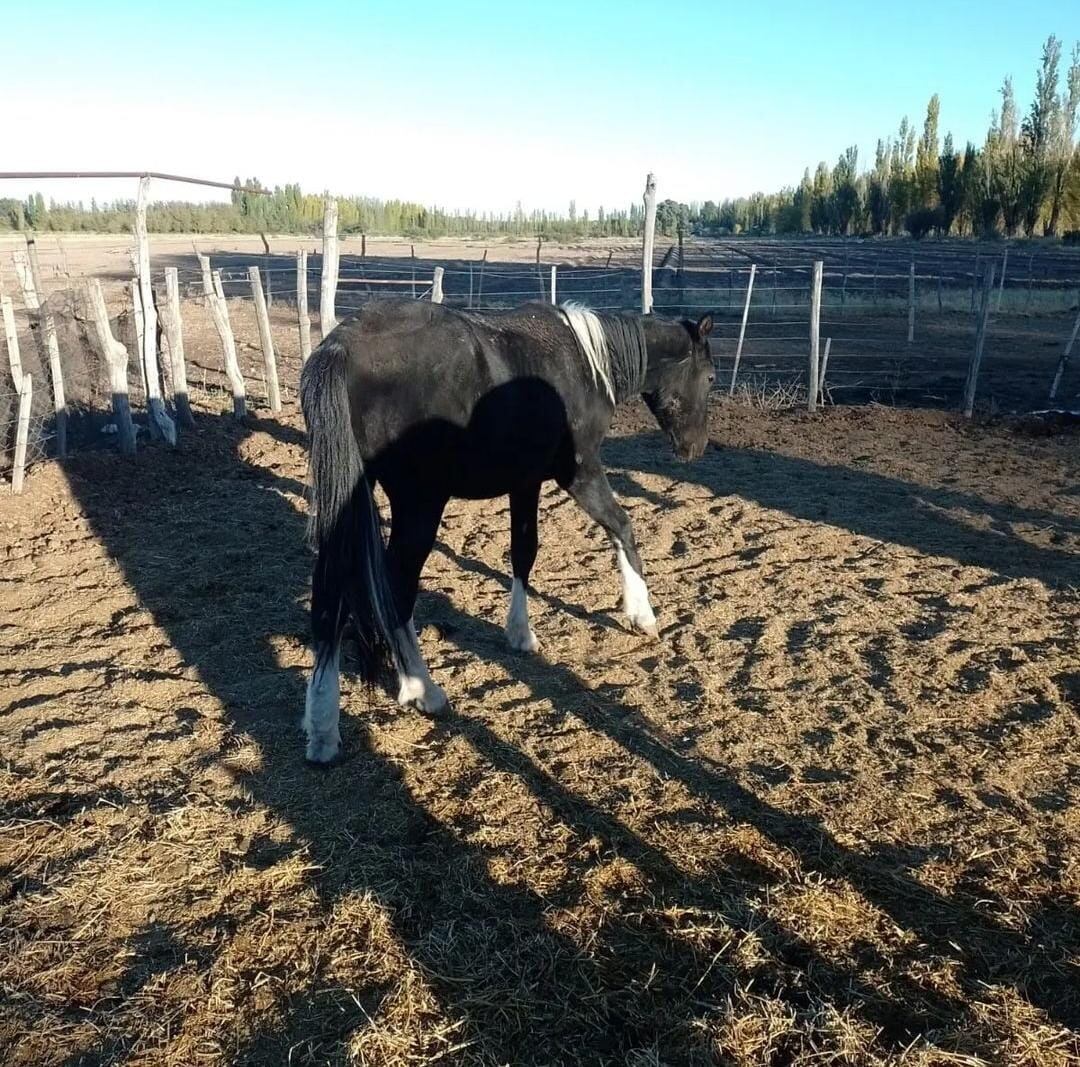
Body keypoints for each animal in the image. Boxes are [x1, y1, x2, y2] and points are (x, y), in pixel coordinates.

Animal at [300, 300, 712, 764]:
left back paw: (322, 729)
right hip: (419, 505)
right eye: (711, 378)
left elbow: (523, 551)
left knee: (329, 597)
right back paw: (420, 689)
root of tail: (342, 345)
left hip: (350, 497)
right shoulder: (580, 473)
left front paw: (519, 633)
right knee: (397, 589)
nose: (695, 448)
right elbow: (622, 527)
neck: (587, 362)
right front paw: (642, 615)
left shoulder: (525, 482)